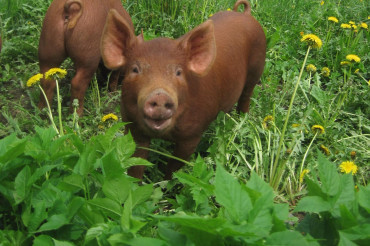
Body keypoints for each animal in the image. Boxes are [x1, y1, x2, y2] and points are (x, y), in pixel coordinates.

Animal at [99, 0, 264, 181]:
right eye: (135, 69)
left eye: (178, 72)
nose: (160, 95)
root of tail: (245, 15)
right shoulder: (132, 127)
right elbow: (136, 165)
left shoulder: (192, 135)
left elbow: (175, 168)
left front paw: (168, 183)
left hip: (256, 70)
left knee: (246, 97)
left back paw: (241, 120)